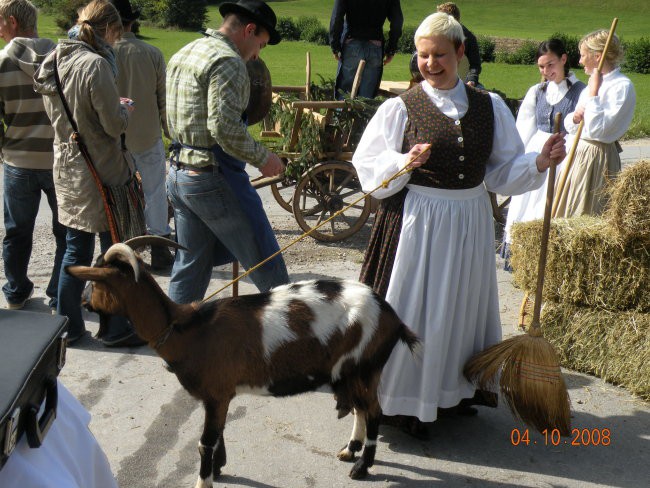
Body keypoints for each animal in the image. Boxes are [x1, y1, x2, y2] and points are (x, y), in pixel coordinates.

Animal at [66, 239, 418, 484]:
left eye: (96, 281)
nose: (82, 301)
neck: (187, 329)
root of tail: (391, 315)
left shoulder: (216, 393)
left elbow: (205, 442)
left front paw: (205, 480)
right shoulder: (219, 396)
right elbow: (216, 435)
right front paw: (219, 468)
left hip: (366, 366)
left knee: (374, 411)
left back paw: (361, 467)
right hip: (349, 371)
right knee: (361, 408)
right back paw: (349, 450)